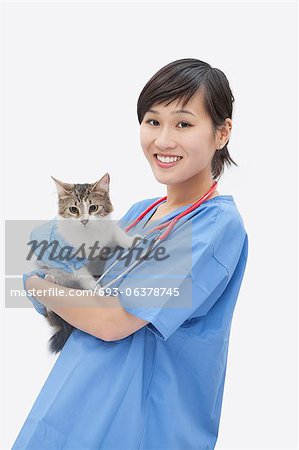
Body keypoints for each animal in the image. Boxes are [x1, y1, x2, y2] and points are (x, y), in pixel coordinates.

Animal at [33, 174, 139, 354]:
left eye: (93, 208)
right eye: (73, 209)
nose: (84, 221)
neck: (88, 235)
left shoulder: (108, 230)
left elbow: (117, 234)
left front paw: (132, 241)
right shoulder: (69, 257)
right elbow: (83, 274)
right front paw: (96, 288)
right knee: (53, 315)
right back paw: (51, 281)